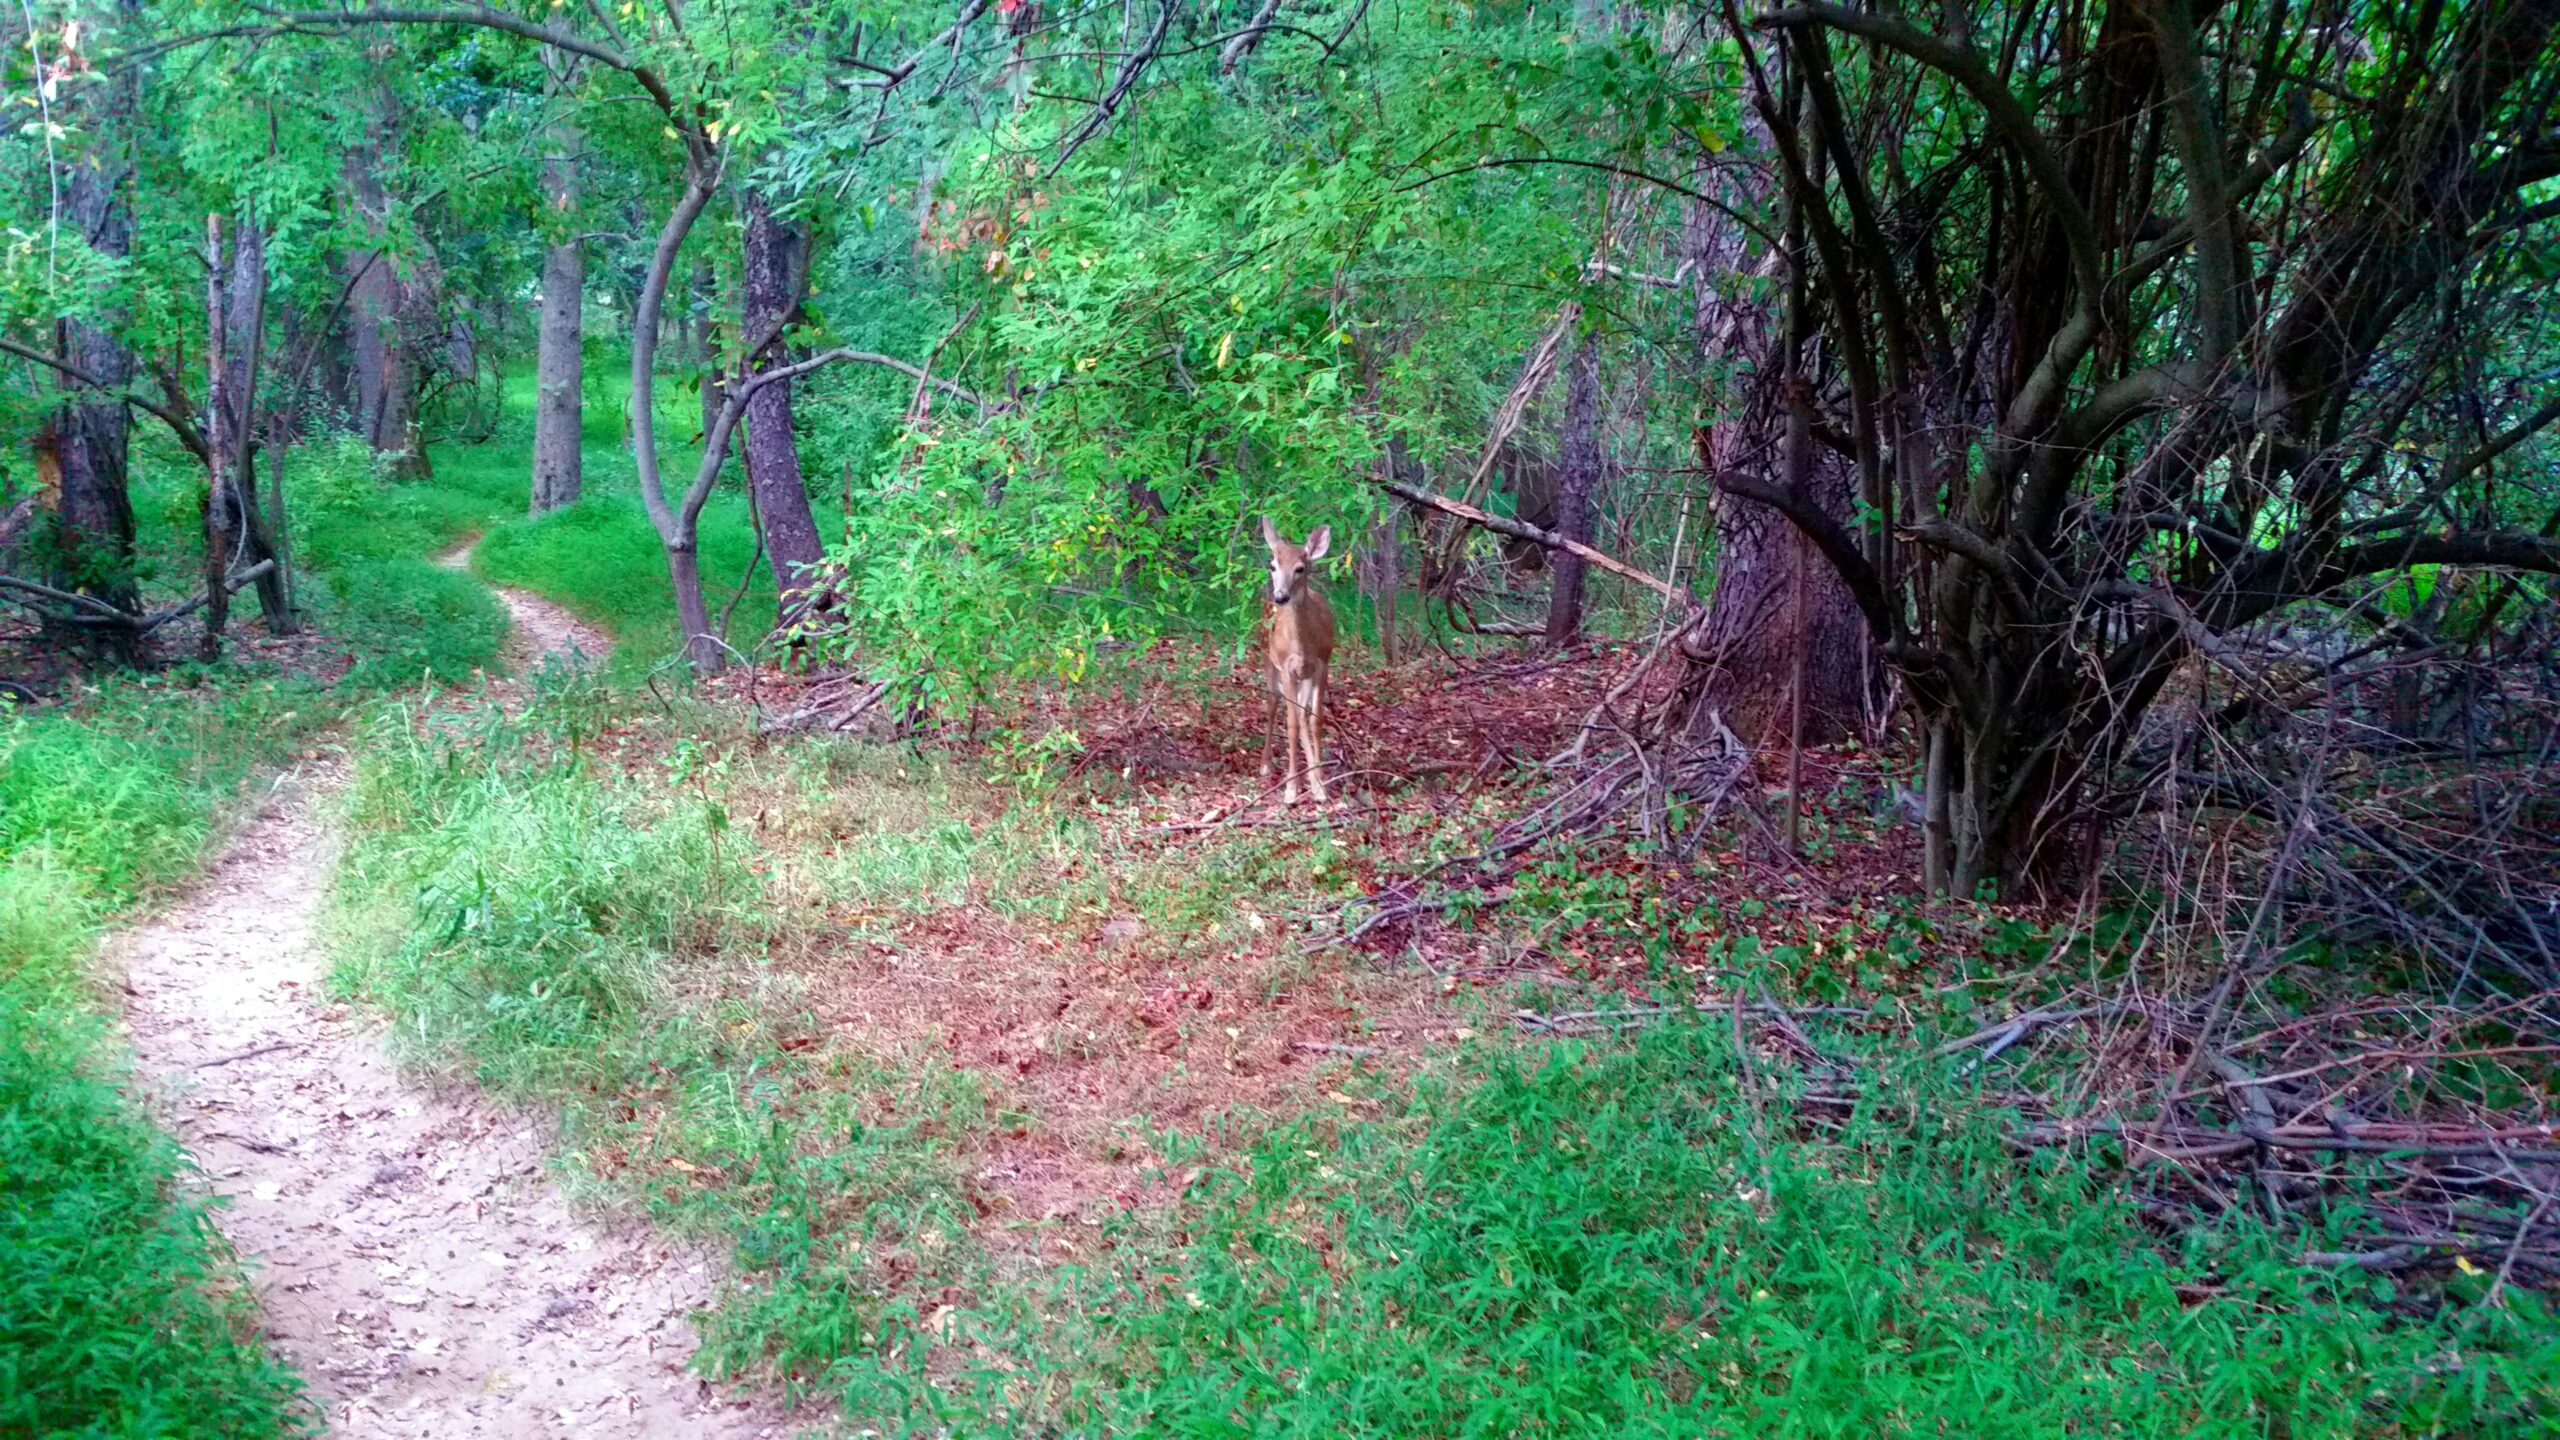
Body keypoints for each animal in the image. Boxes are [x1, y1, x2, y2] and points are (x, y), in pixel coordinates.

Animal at [1258, 517, 1336, 805]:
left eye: (1300, 568)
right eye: (1272, 565)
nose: (1280, 596)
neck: (1302, 646)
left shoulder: (1322, 663)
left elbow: (1315, 721)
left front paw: (1320, 785)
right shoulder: (1286, 667)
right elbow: (1290, 724)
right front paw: (1291, 789)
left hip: (1305, 676)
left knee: (1302, 712)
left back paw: (1311, 778)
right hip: (1269, 662)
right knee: (1273, 705)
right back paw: (1266, 764)